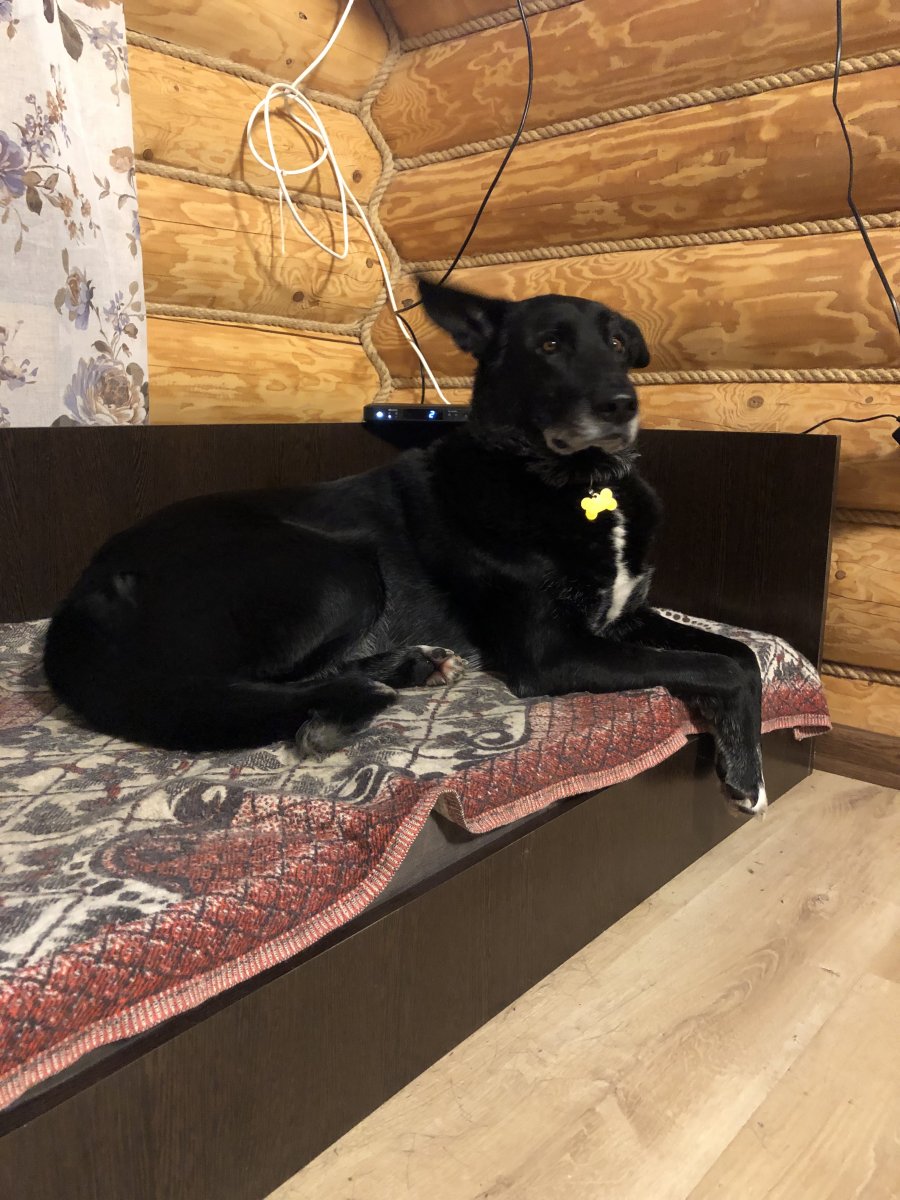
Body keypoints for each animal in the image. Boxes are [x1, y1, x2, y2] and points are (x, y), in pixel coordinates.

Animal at [43, 279, 767, 814]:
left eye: (618, 342)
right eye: (551, 344)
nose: (622, 403)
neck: (576, 485)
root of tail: (80, 600)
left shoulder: (626, 615)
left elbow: (743, 655)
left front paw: (745, 757)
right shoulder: (552, 653)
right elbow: (719, 667)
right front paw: (748, 779)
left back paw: (410, 666)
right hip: (340, 568)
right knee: (265, 684)